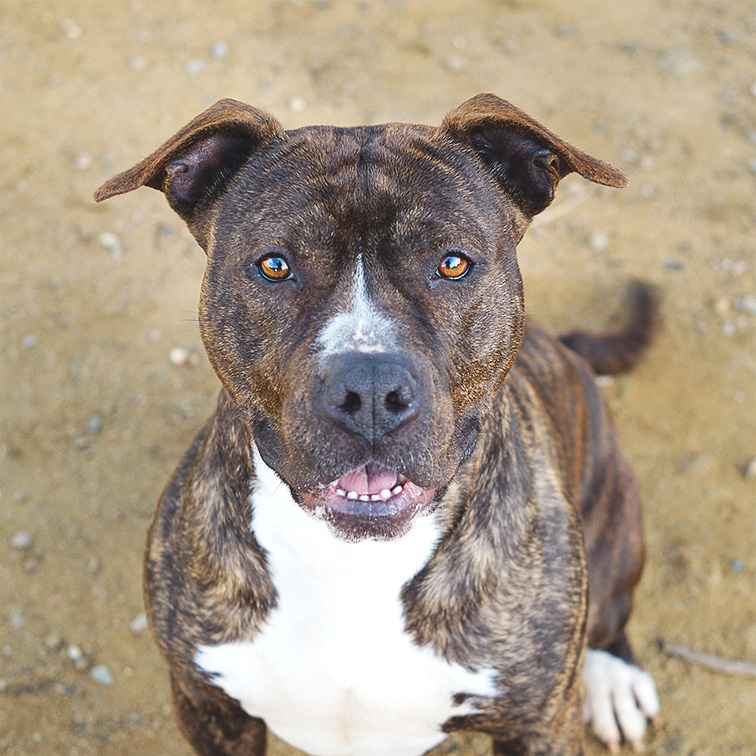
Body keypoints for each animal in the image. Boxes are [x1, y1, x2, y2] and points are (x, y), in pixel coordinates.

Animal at [95, 93, 660, 756]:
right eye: (275, 265)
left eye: (452, 263)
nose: (368, 389)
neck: (353, 564)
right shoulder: (209, 707)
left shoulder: (539, 725)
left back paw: (613, 678)